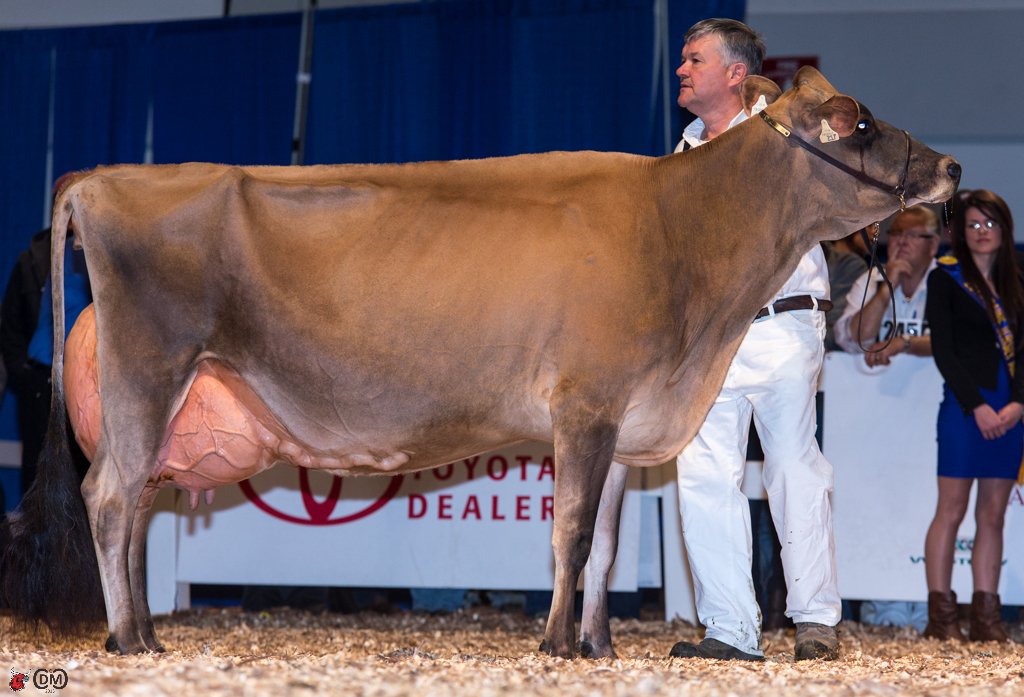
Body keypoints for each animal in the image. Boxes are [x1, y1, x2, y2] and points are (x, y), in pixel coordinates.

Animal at [0, 67, 959, 659]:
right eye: (861, 123)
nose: (950, 165)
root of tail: (102, 179)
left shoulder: (624, 418)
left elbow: (608, 545)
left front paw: (597, 644)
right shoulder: (585, 406)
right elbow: (572, 532)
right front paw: (556, 642)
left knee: (134, 500)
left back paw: (149, 633)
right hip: (149, 368)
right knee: (110, 495)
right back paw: (129, 638)